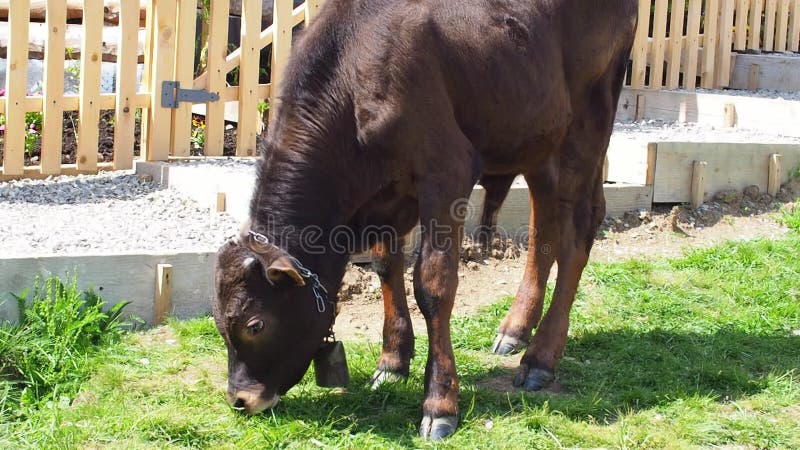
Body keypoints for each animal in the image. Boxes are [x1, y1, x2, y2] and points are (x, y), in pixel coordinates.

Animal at [212, 0, 636, 440]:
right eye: (218, 323)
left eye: (255, 325)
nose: (241, 400)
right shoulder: (387, 196)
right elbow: (386, 266)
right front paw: (392, 361)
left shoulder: (445, 174)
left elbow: (433, 286)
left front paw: (440, 402)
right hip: (539, 139)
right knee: (545, 226)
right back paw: (515, 330)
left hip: (587, 127)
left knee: (577, 234)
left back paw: (540, 358)